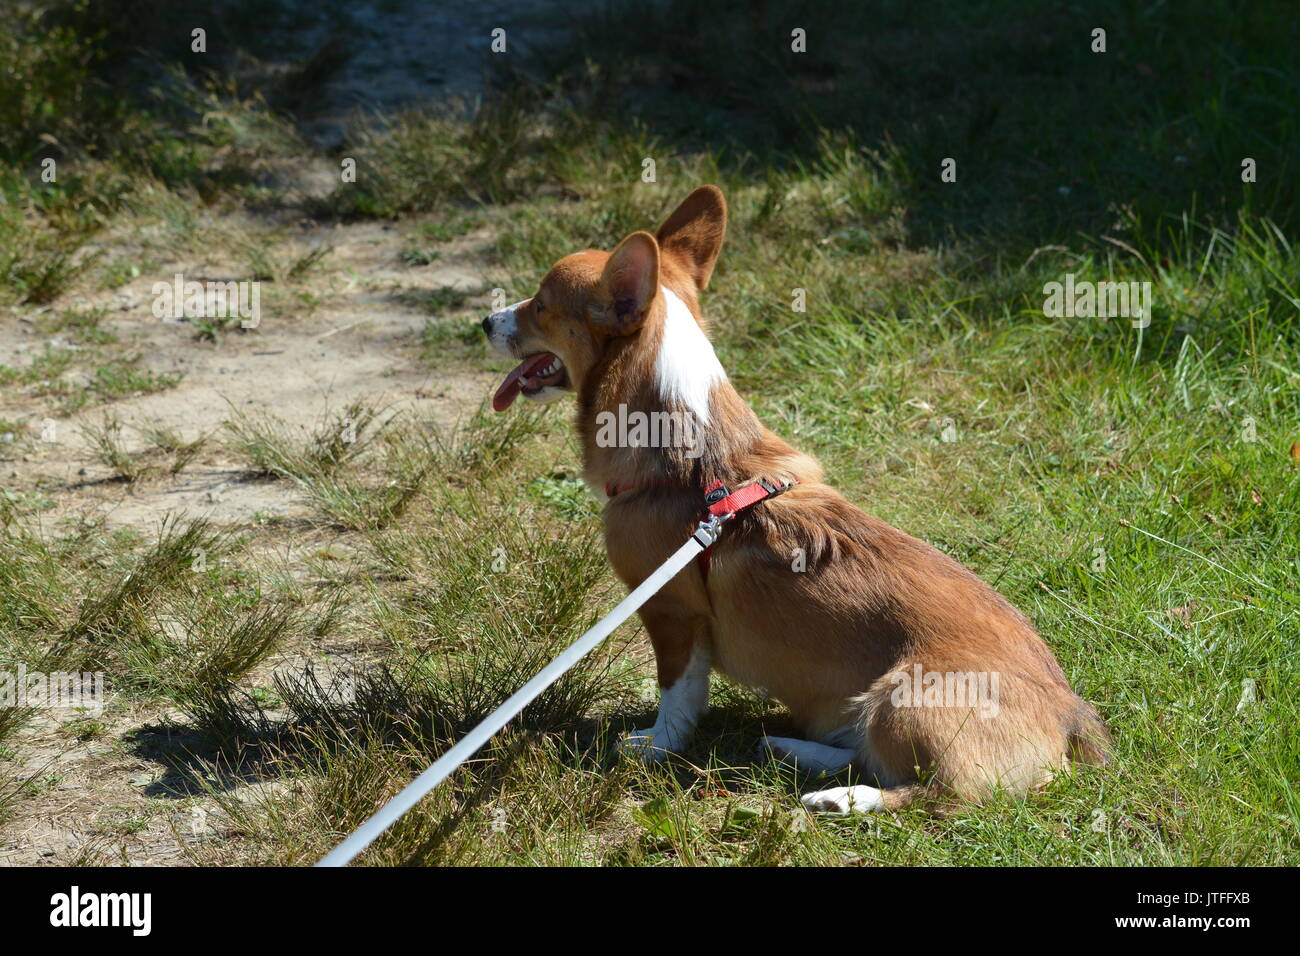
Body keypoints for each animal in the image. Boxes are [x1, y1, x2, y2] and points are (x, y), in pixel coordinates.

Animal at [483, 187, 1112, 816]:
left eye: (541, 305)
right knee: (865, 750)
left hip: (904, 698)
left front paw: (655, 746)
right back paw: (792, 747)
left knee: (935, 793)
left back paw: (841, 797)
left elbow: (677, 697)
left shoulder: (672, 613)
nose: (484, 320)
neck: (693, 459)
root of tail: (1072, 717)